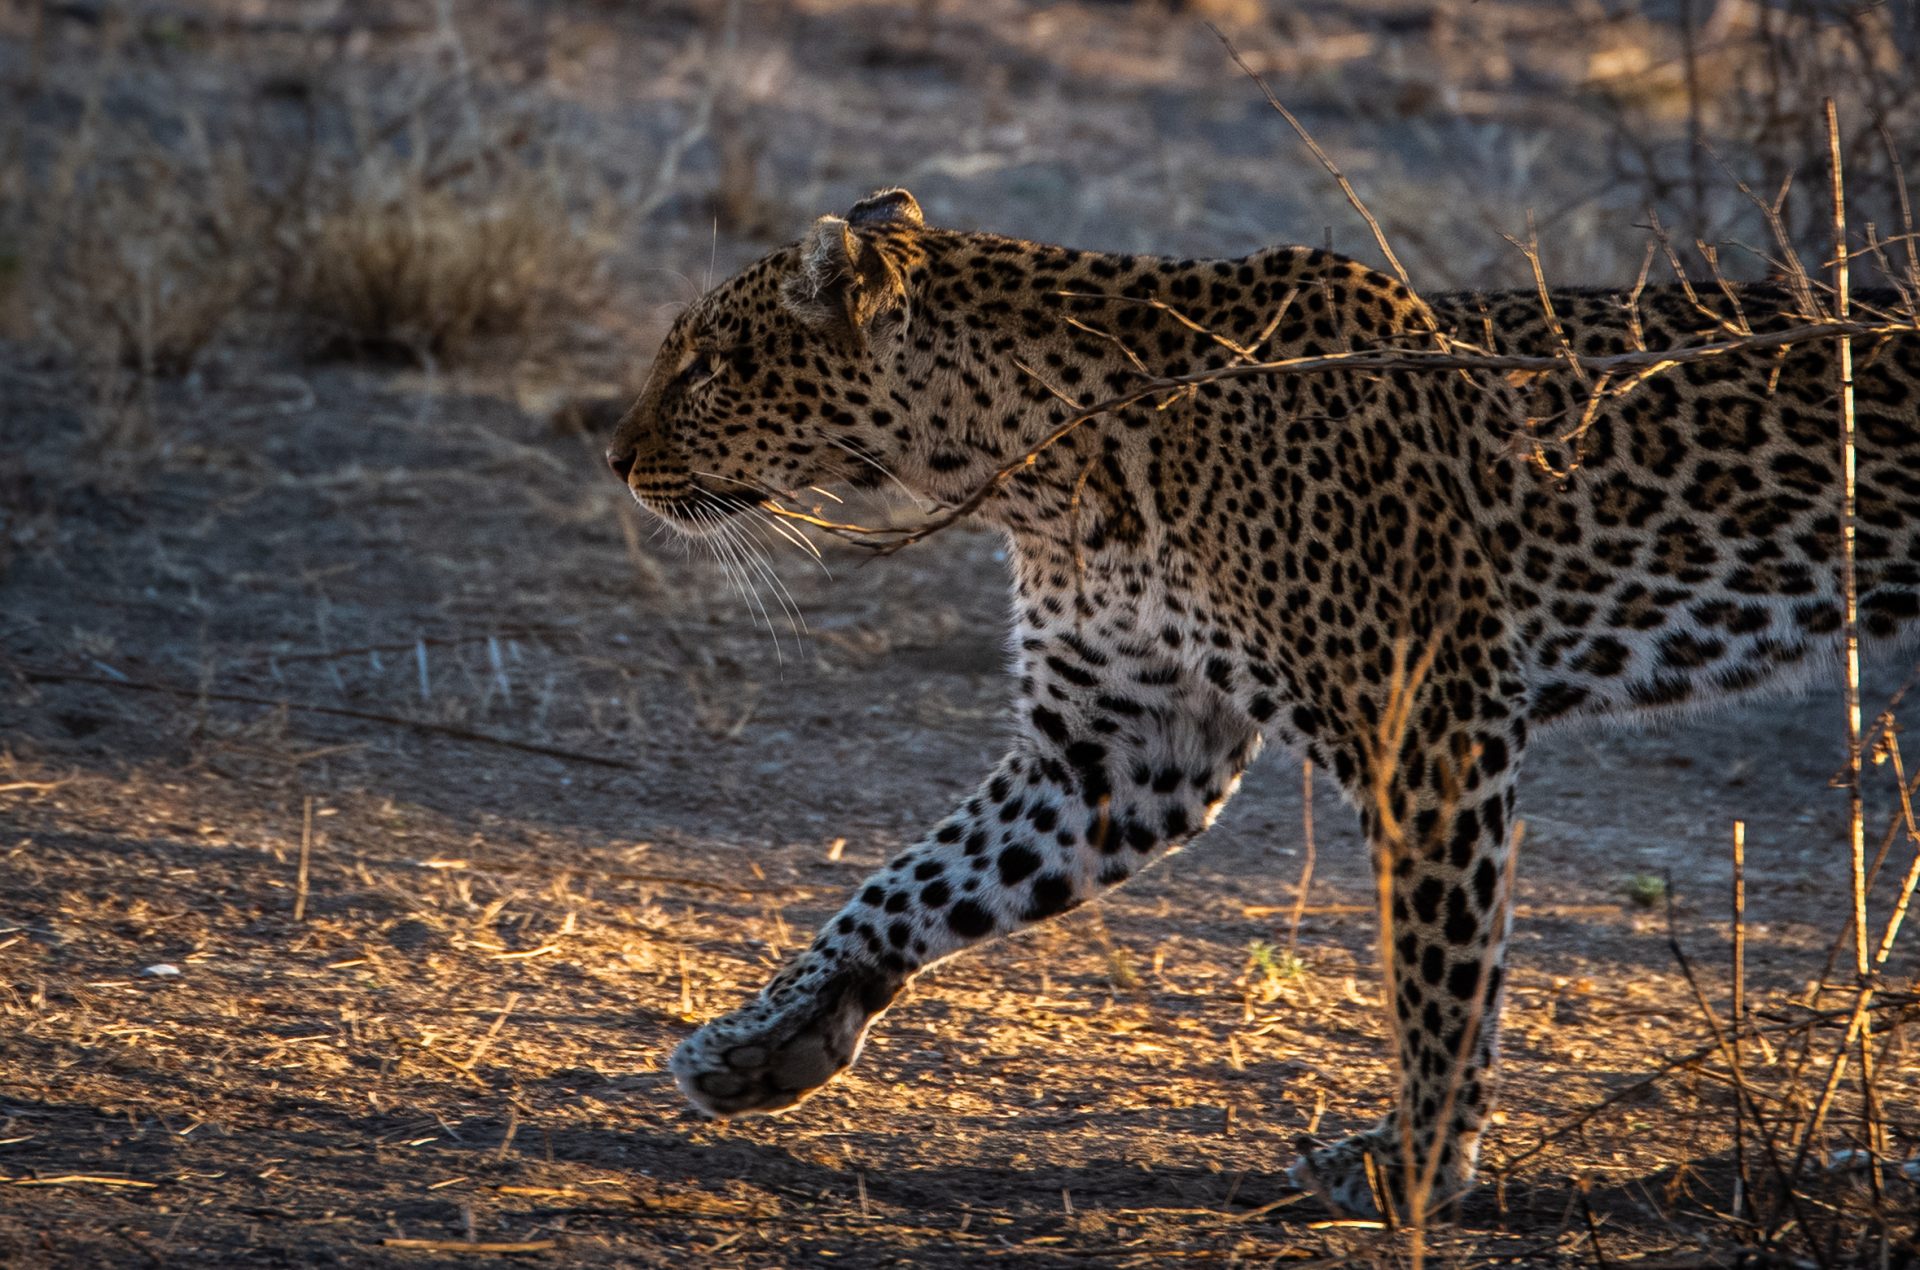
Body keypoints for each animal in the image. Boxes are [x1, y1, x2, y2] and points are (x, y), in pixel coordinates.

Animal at [604, 187, 1920, 1218]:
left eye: (707, 365)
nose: (613, 459)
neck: (1034, 470)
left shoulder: (1431, 726)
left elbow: (1440, 972)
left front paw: (1415, 1167)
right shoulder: (1120, 748)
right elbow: (913, 880)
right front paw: (769, 1042)